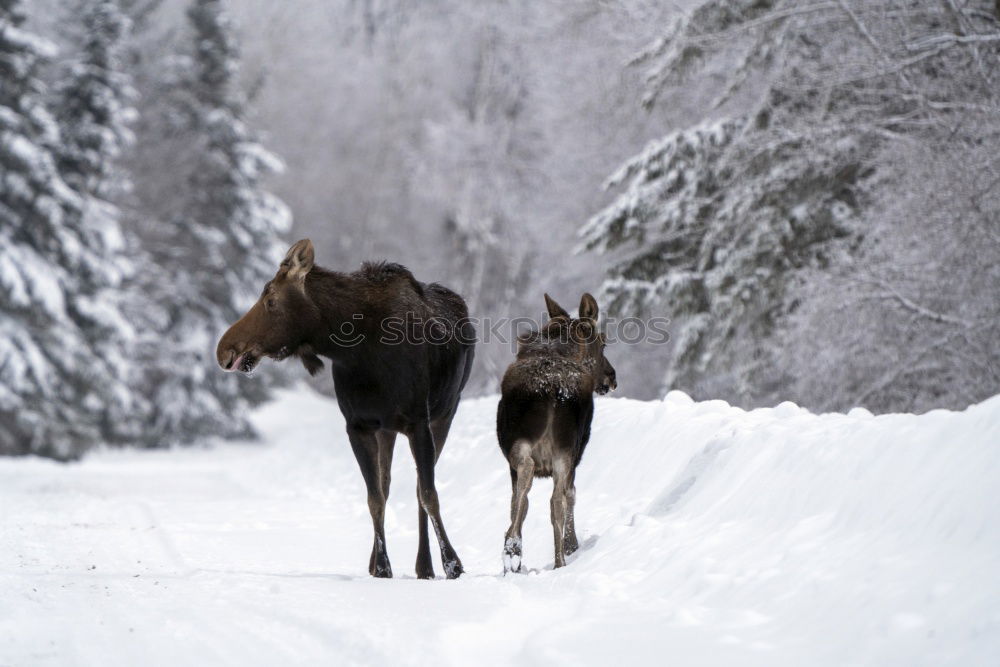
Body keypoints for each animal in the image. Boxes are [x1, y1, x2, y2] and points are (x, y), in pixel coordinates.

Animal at [217, 240, 474, 580]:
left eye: (270, 299)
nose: (223, 349)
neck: (356, 346)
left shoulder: (420, 421)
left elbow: (429, 494)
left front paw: (452, 564)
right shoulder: (359, 425)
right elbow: (375, 497)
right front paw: (381, 566)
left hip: (446, 412)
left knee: (420, 489)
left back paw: (425, 565)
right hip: (388, 429)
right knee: (388, 484)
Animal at [496, 292, 612, 576]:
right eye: (603, 343)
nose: (611, 377)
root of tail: (550, 387)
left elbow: (518, 502)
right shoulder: (575, 456)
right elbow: (569, 495)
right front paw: (572, 545)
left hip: (532, 446)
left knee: (533, 488)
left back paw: (514, 547)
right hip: (564, 450)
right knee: (555, 500)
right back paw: (552, 558)